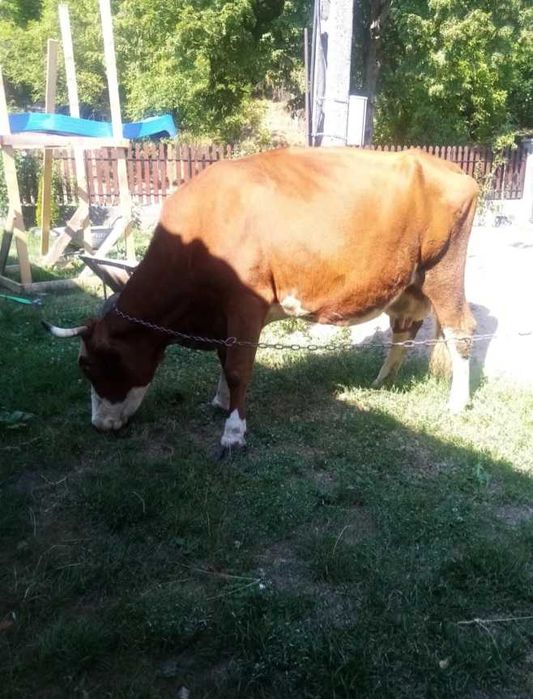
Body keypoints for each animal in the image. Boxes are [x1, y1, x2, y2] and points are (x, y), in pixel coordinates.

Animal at [45, 146, 478, 455]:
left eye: (88, 365)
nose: (98, 426)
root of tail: (450, 169)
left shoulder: (245, 302)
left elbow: (239, 368)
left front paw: (233, 433)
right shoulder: (224, 314)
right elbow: (225, 359)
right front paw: (220, 403)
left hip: (443, 268)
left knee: (460, 329)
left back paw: (456, 403)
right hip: (406, 282)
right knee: (405, 327)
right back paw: (383, 381)